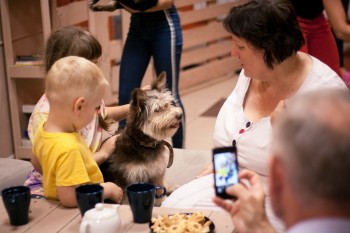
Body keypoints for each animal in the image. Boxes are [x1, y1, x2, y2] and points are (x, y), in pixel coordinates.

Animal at [100, 71, 183, 202]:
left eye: (169, 104)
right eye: (158, 109)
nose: (179, 115)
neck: (143, 143)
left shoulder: (157, 173)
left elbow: (161, 190)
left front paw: (163, 201)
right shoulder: (127, 180)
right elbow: (126, 202)